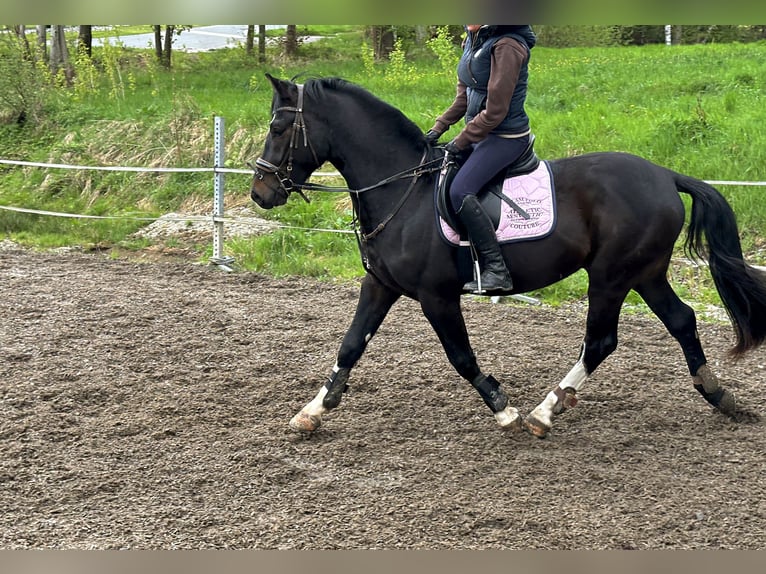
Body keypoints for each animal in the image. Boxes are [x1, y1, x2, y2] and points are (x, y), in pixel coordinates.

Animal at [250, 74, 766, 438]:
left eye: (278, 126)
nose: (260, 192)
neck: (403, 189)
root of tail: (664, 174)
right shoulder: (380, 285)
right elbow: (351, 345)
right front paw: (311, 413)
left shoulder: (437, 297)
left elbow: (460, 356)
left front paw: (505, 410)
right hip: (646, 273)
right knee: (681, 320)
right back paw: (719, 396)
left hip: (611, 276)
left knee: (601, 341)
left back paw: (544, 411)